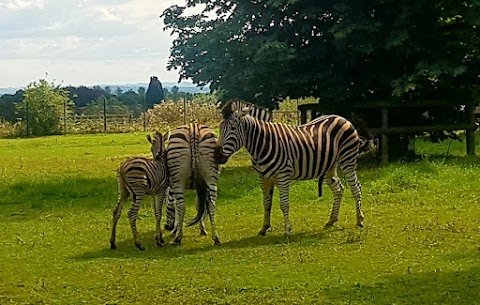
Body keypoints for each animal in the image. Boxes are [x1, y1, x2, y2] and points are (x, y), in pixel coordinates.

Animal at [217, 101, 364, 236]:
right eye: (220, 128)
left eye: (233, 128)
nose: (219, 156)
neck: (263, 143)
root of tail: (341, 118)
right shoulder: (263, 177)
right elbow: (266, 203)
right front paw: (264, 228)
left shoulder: (283, 175)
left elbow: (284, 204)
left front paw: (287, 229)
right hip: (329, 165)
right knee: (338, 189)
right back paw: (331, 220)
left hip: (347, 159)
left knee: (356, 187)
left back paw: (359, 220)